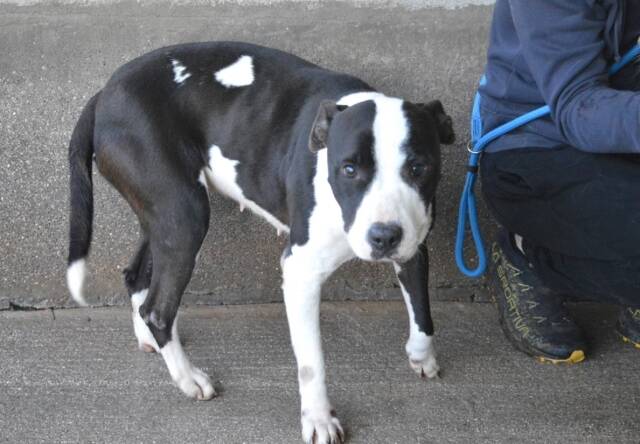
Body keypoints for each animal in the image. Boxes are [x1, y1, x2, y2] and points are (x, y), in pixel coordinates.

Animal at [66, 41, 454, 444]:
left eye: (419, 167)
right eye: (348, 169)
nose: (384, 235)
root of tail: (104, 93)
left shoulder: (415, 246)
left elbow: (423, 312)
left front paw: (421, 356)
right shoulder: (300, 273)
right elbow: (312, 361)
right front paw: (318, 419)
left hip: (163, 218)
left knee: (137, 276)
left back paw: (151, 340)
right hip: (184, 216)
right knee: (158, 309)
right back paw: (187, 378)